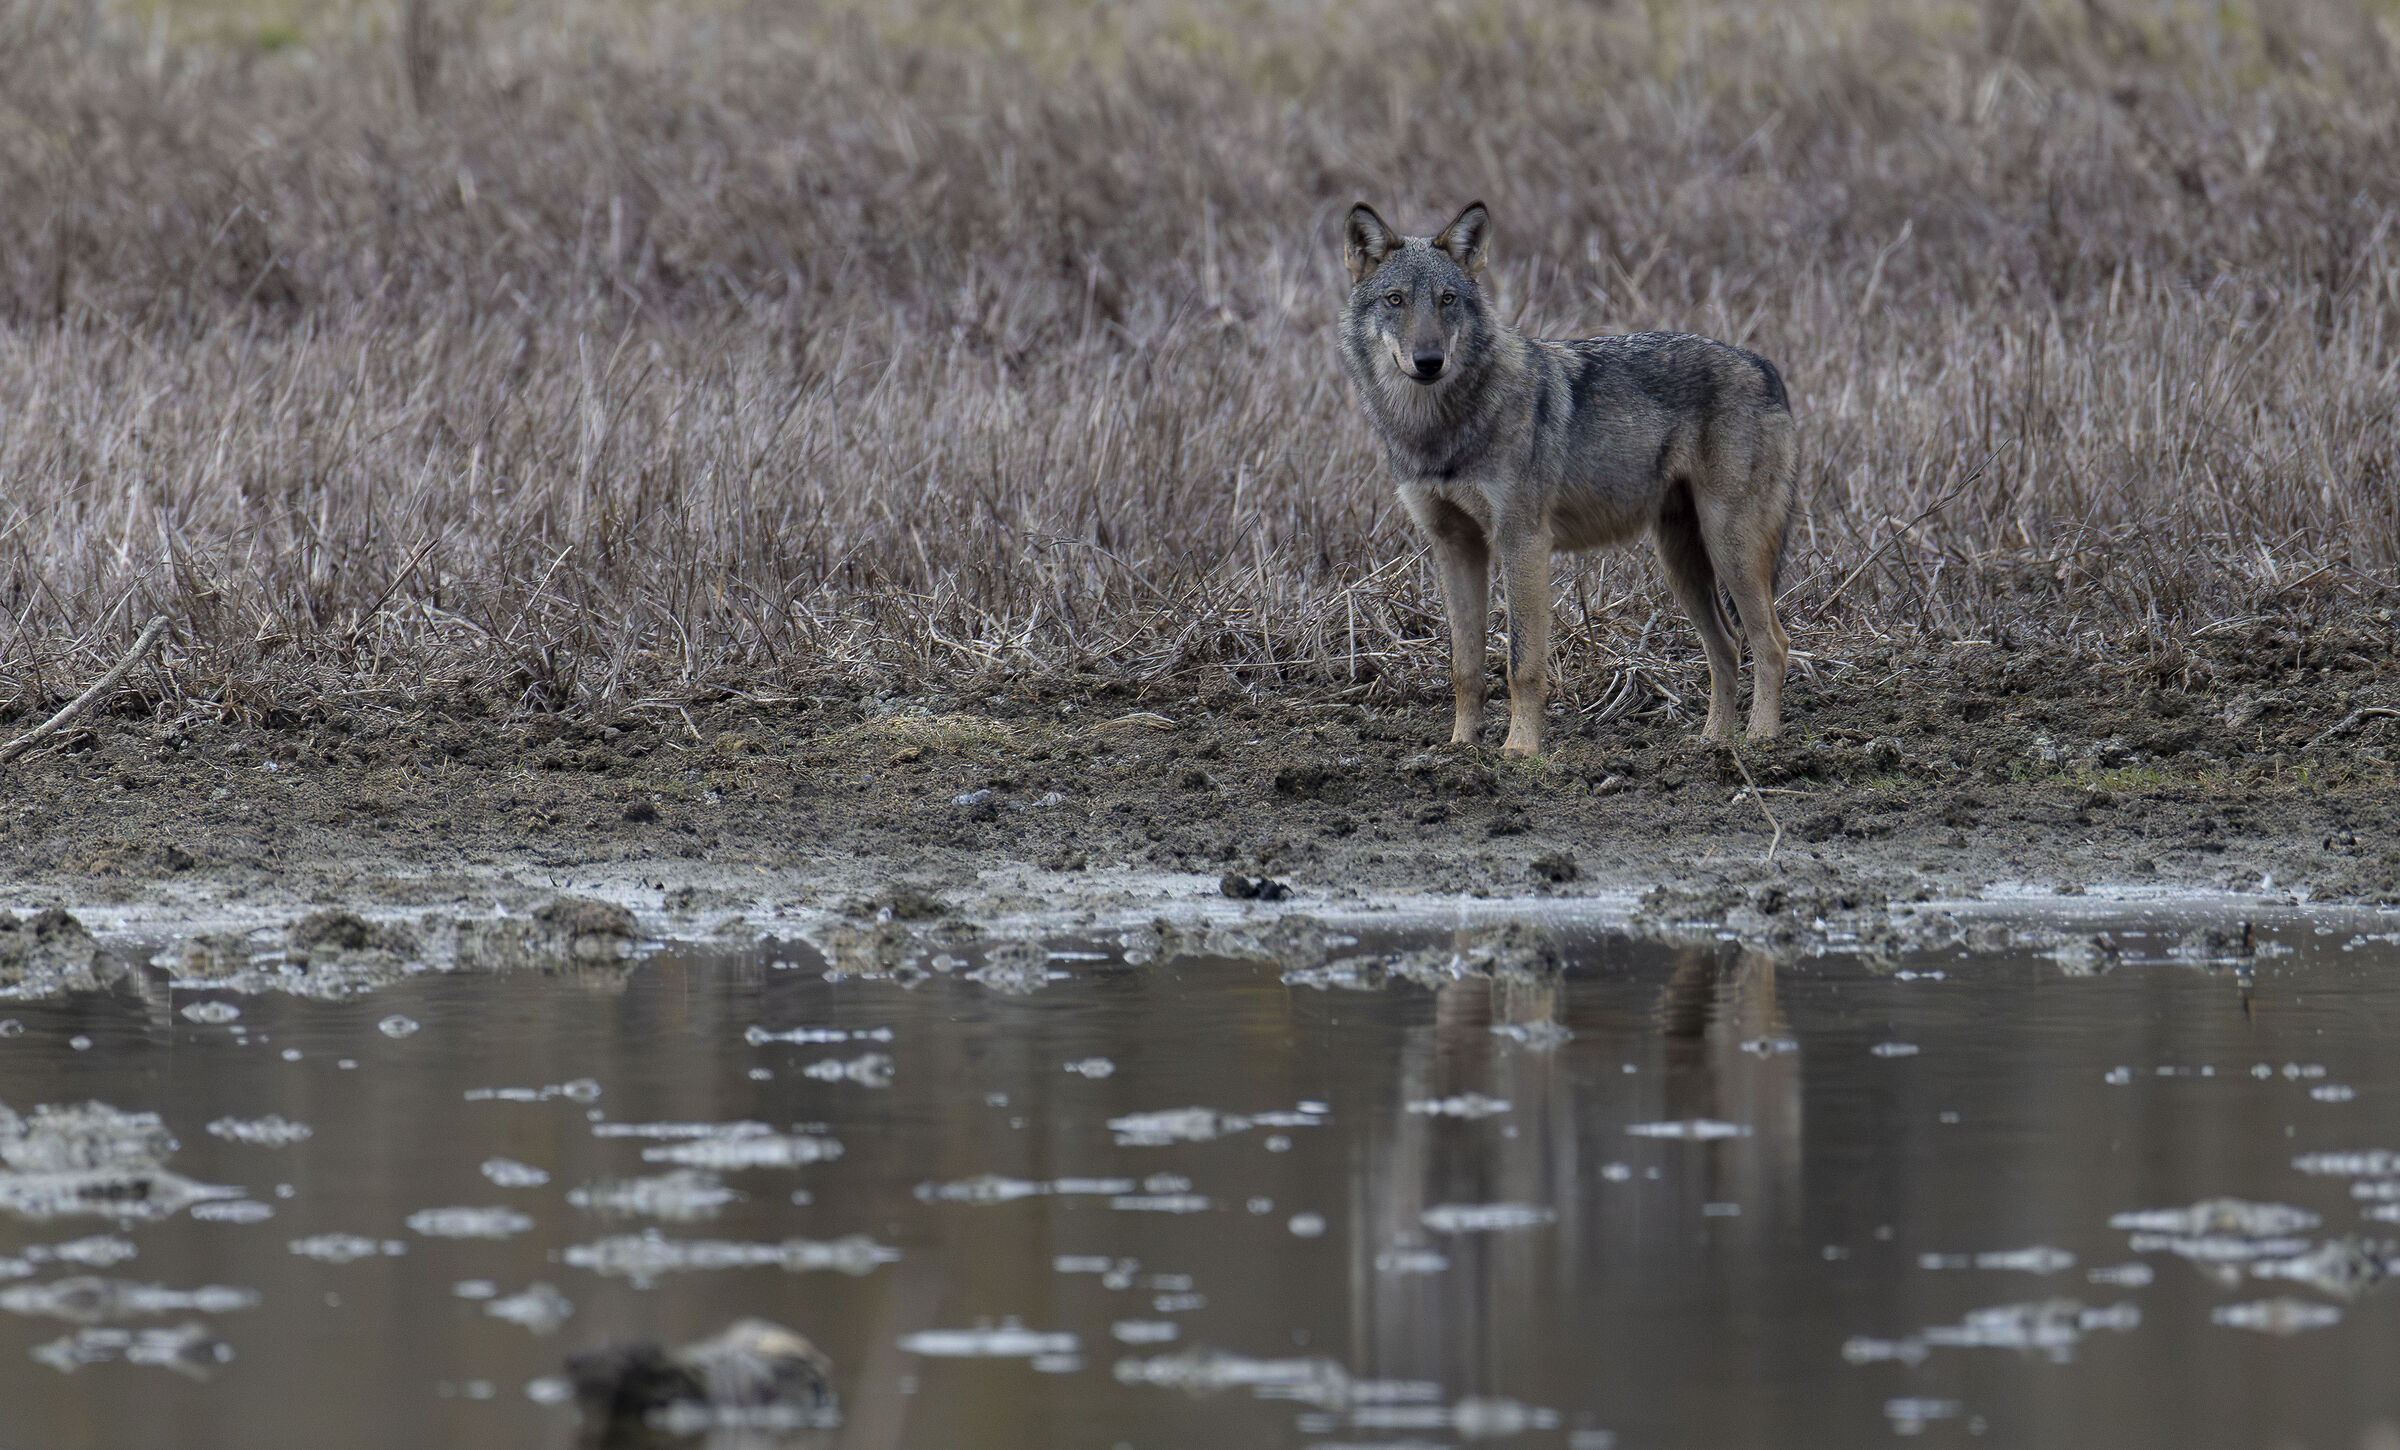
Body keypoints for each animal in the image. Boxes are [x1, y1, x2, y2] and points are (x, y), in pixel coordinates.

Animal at [1339, 200, 1798, 757]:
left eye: (1447, 300)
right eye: (1396, 300)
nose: (1429, 361)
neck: (1436, 428)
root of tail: (1764, 364)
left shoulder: (1523, 542)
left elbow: (1522, 665)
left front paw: (1520, 750)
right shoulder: (1454, 546)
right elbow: (1464, 667)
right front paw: (1461, 747)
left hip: (1729, 548)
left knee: (1773, 644)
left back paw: (1761, 742)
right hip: (1682, 564)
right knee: (1728, 647)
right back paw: (1712, 744)